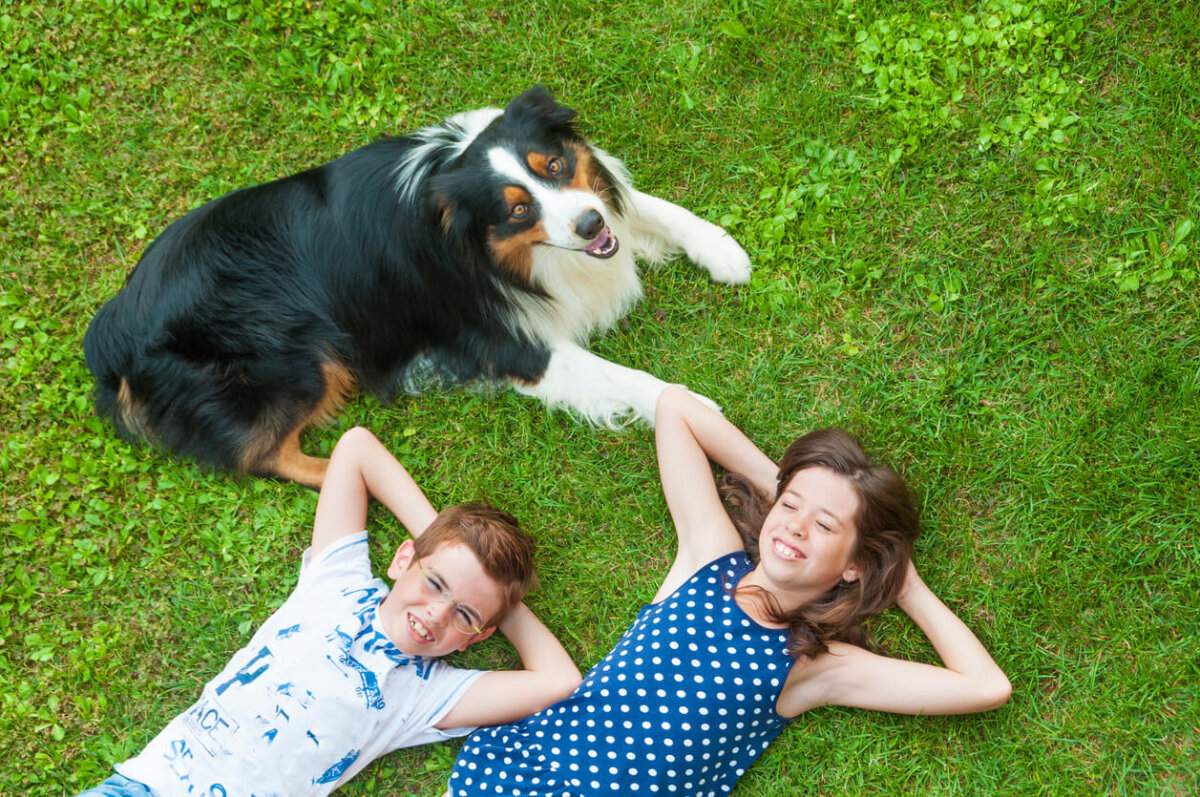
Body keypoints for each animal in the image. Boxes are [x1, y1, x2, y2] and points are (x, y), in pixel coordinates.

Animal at [87, 87, 748, 484]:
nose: (586, 227)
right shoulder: (512, 344)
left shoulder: (599, 208)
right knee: (265, 456)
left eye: (555, 167)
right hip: (297, 353)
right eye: (516, 211)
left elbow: (648, 206)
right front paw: (692, 410)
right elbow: (626, 377)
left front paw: (724, 251)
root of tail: (116, 324)